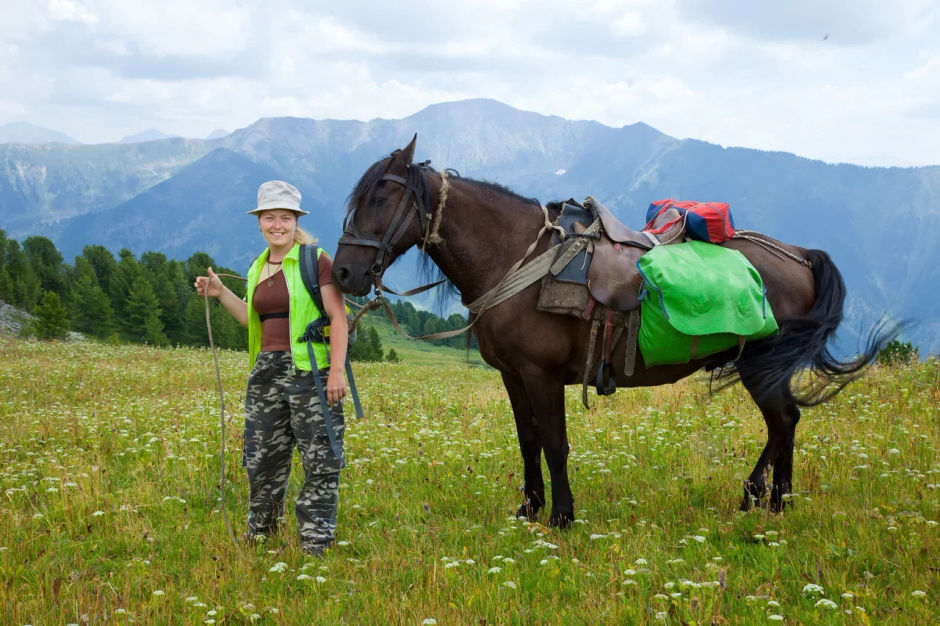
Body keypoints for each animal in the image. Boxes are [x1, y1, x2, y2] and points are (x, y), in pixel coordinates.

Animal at [332, 136, 896, 528]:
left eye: (380, 198)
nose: (343, 274)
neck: (517, 257)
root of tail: (798, 255)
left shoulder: (540, 374)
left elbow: (554, 443)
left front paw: (561, 515)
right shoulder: (514, 376)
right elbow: (527, 441)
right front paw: (528, 508)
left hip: (762, 364)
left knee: (783, 422)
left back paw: (758, 497)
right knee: (788, 424)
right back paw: (776, 501)